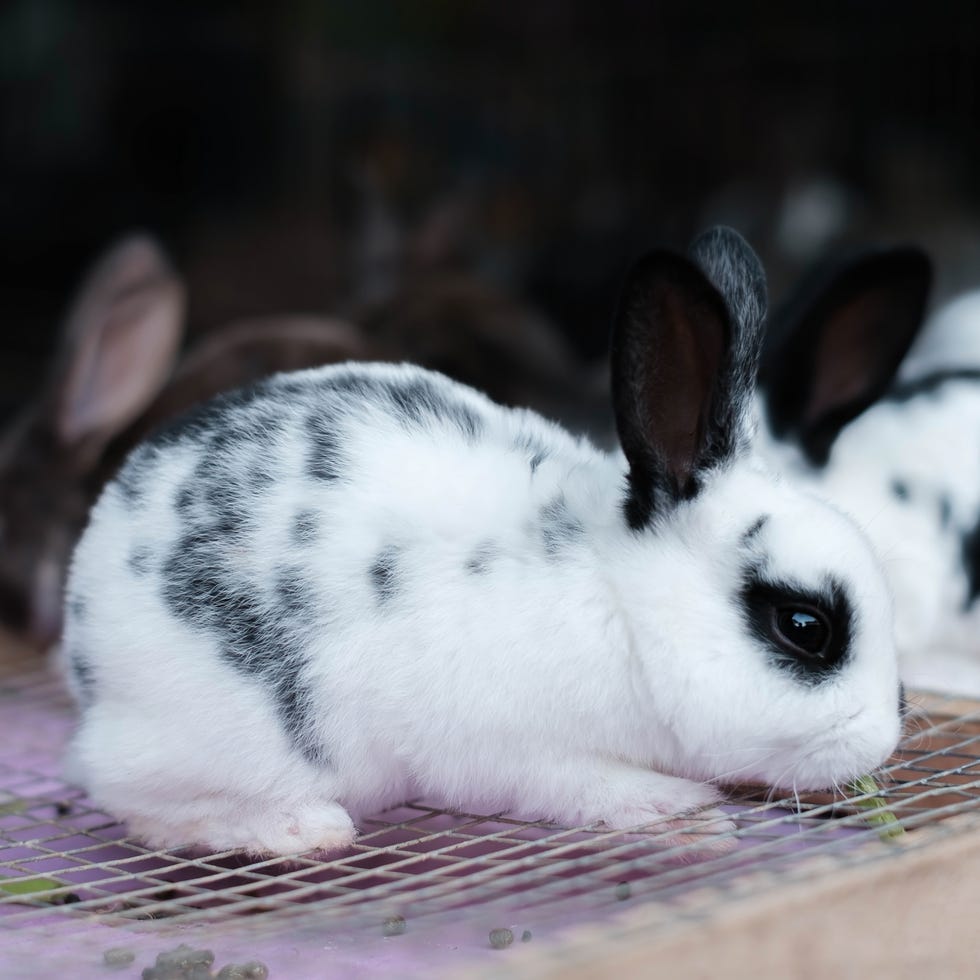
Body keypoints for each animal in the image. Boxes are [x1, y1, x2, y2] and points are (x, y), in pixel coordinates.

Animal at [60, 227, 903, 856]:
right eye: (803, 626)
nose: (882, 741)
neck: (623, 608)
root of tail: (81, 626)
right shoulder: (520, 754)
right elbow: (591, 788)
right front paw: (685, 812)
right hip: (224, 740)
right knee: (136, 799)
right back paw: (299, 827)